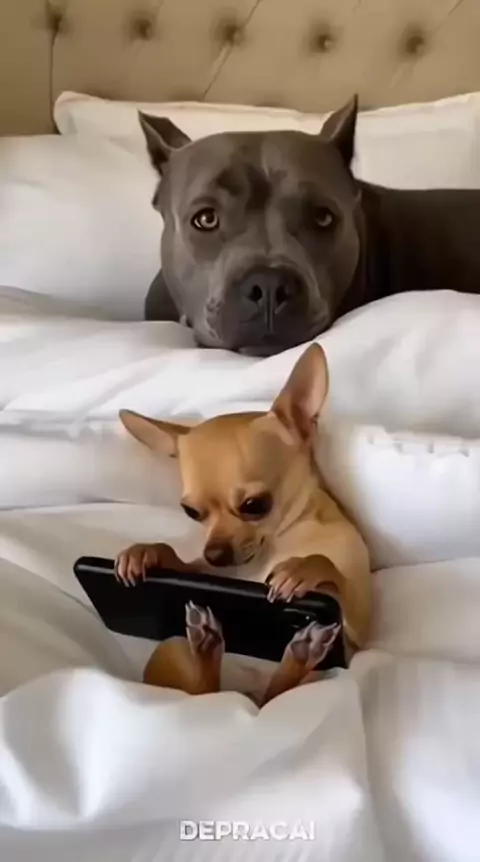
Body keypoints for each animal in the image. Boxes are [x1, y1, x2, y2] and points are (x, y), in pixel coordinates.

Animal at [116, 344, 372, 703]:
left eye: (254, 505)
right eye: (191, 512)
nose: (214, 554)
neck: (281, 540)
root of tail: (246, 694)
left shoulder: (358, 631)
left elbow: (332, 573)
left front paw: (304, 567)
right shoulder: (208, 574)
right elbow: (185, 565)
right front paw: (148, 552)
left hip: (319, 673)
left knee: (275, 692)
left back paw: (298, 652)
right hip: (174, 645)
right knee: (206, 689)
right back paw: (208, 644)